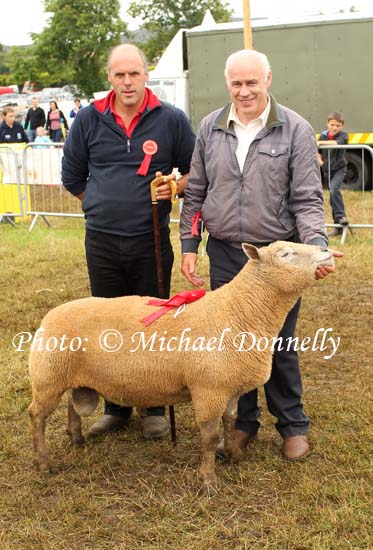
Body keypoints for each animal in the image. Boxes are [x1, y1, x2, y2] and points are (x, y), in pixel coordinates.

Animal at [28, 242, 332, 496]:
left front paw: (234, 455)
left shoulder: (230, 387)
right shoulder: (208, 389)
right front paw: (208, 481)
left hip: (71, 377)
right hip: (47, 377)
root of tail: (49, 316)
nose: (326, 250)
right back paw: (43, 463)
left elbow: (231, 421)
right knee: (36, 417)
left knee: (71, 404)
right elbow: (209, 436)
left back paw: (76, 439)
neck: (237, 312)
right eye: (285, 254)